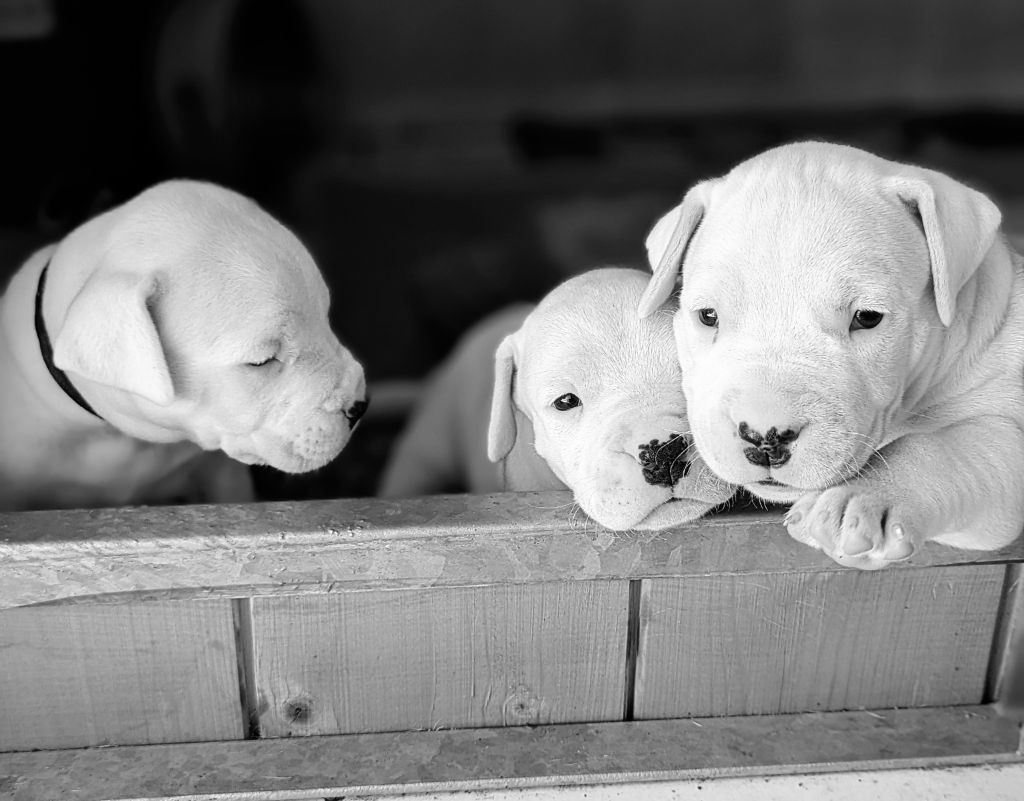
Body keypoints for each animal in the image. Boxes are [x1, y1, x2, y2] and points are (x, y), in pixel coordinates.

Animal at [638, 142, 1024, 569]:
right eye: (708, 316)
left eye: (868, 317)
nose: (765, 438)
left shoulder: (1004, 435)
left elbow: (946, 448)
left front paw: (864, 499)